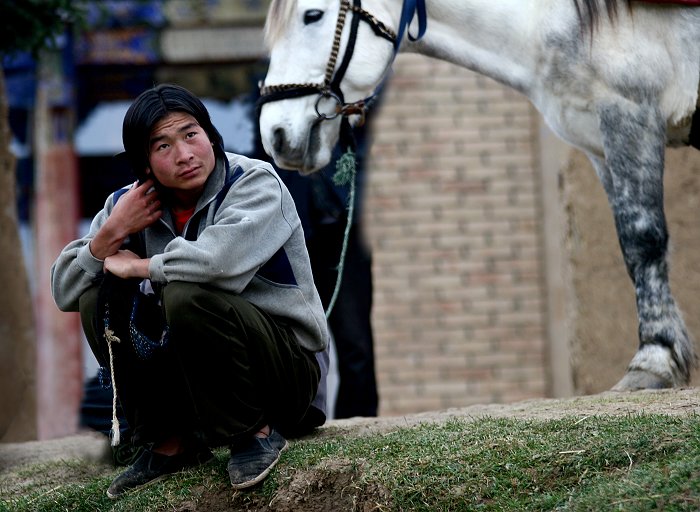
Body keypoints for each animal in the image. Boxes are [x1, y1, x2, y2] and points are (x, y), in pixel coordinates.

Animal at [258, 1, 700, 392]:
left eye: (312, 15)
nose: (274, 135)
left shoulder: (629, 117)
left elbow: (642, 240)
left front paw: (654, 361)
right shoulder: (598, 144)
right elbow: (630, 247)